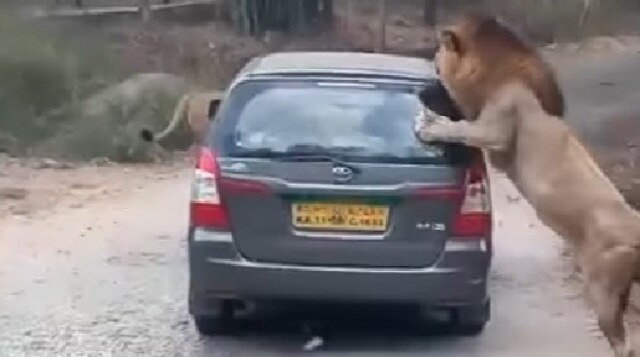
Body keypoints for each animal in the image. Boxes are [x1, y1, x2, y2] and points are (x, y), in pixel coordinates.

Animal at [416, 12, 640, 354]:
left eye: (439, 54)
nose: (431, 65)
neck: (494, 74)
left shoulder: (497, 129)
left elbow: (461, 128)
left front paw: (430, 125)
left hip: (604, 288)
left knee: (623, 344)